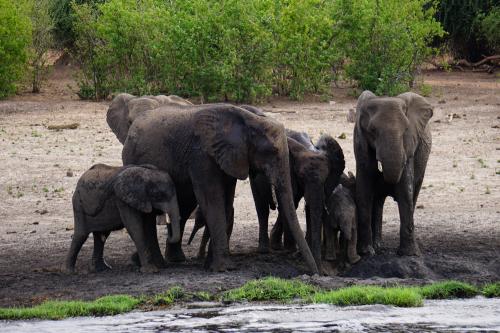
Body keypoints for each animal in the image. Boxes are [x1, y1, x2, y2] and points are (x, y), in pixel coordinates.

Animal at [119, 104, 318, 272]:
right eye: (273, 152)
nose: (315, 274)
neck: (248, 119)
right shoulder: (201, 155)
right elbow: (212, 200)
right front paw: (224, 268)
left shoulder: (231, 157)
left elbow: (226, 202)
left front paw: (211, 265)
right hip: (133, 158)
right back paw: (155, 264)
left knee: (183, 204)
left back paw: (173, 260)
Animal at [352, 89, 434, 255]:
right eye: (372, 131)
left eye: (406, 129)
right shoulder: (360, 142)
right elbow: (364, 190)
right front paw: (366, 252)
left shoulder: (409, 145)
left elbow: (405, 191)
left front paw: (409, 254)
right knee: (377, 200)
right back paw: (377, 246)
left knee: (413, 194)